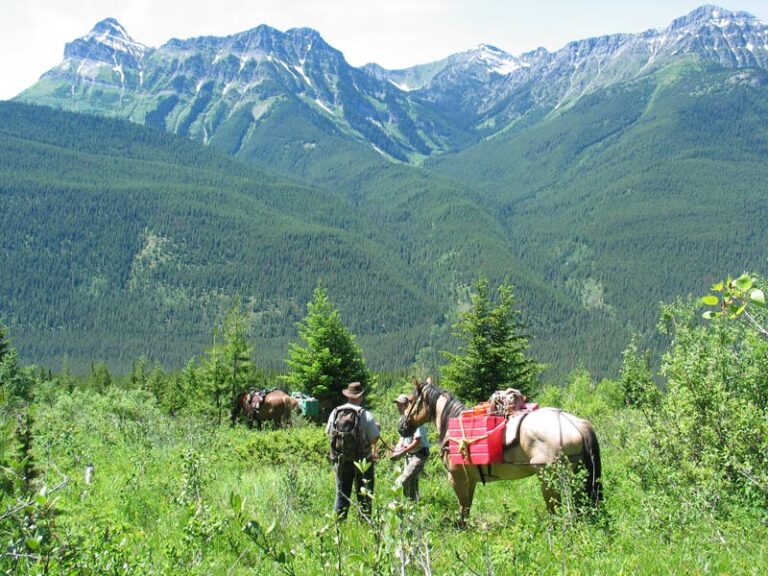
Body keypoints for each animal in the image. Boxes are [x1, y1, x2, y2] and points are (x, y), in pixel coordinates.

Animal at [400, 376, 604, 524]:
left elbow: (463, 509)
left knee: (555, 509)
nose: (401, 427)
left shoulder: (457, 478)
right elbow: (468, 506)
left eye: (410, 401)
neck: (452, 427)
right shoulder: (470, 479)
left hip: (549, 477)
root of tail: (576, 424)